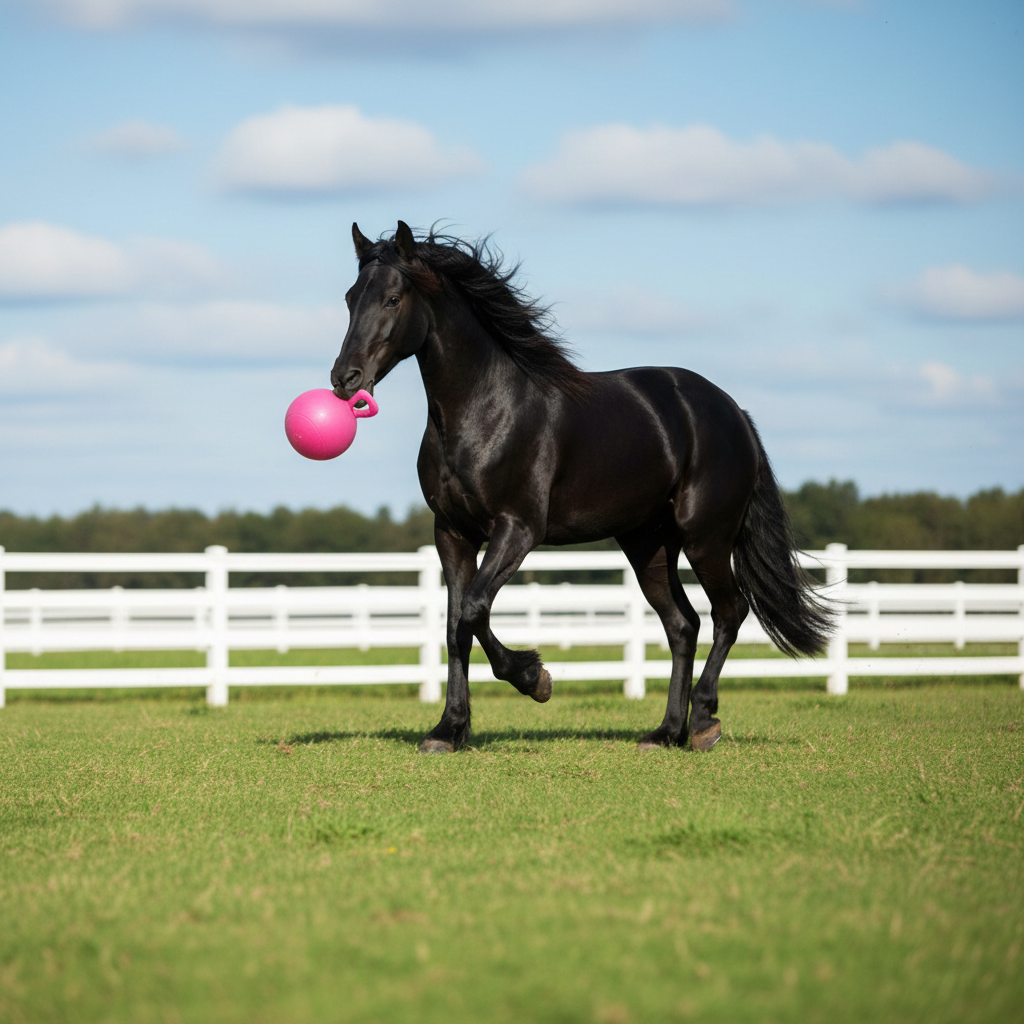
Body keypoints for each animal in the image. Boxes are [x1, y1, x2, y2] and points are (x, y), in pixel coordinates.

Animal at [331, 222, 832, 754]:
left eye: (392, 298)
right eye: (350, 297)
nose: (344, 378)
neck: (487, 410)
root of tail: (733, 411)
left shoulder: (518, 529)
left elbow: (473, 609)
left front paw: (535, 679)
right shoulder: (451, 532)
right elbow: (454, 627)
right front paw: (448, 730)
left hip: (706, 538)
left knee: (729, 613)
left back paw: (702, 722)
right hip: (648, 544)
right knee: (683, 625)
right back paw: (665, 732)